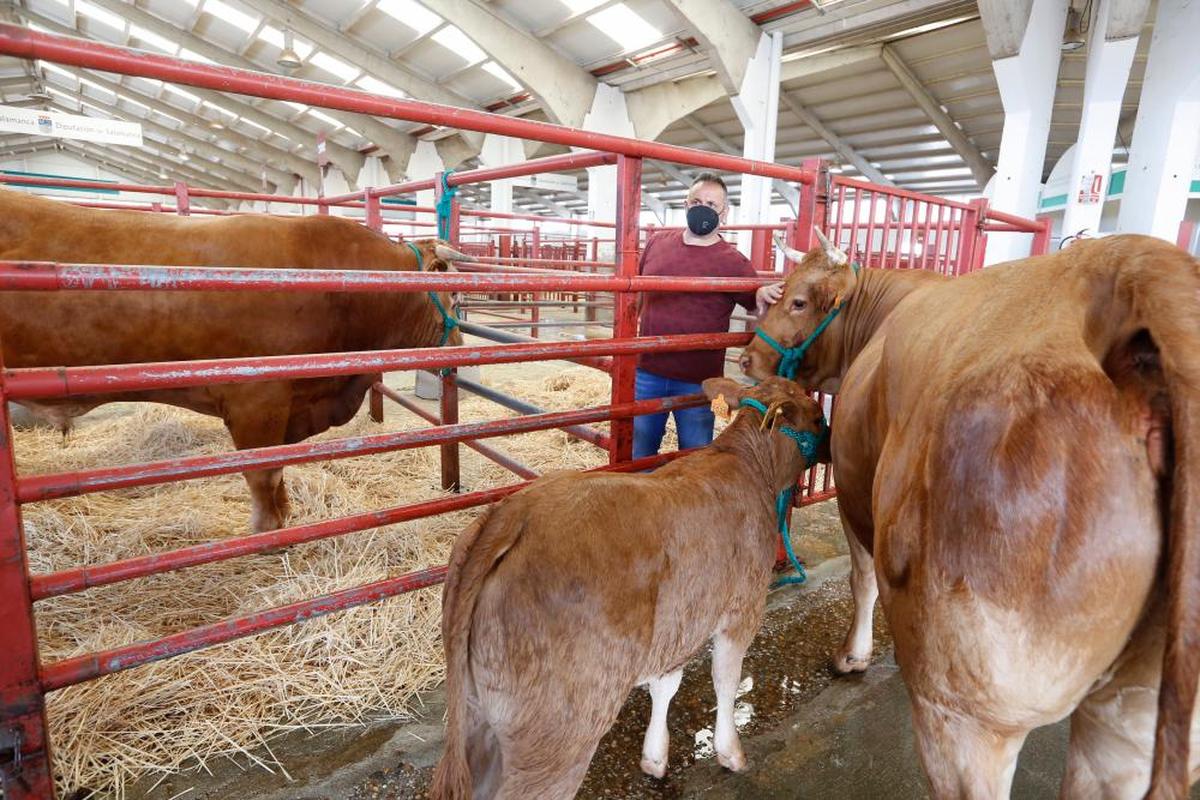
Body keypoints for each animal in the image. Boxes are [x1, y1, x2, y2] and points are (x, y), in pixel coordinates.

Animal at [0, 189, 475, 532]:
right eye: (454, 294)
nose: (461, 347)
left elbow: (278, 468)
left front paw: (285, 514)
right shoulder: (257, 400)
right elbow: (263, 471)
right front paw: (268, 529)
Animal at [434, 376, 835, 800]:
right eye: (816, 413)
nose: (830, 445)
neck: (747, 462)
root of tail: (511, 515)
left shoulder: (678, 621)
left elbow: (666, 685)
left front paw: (655, 757)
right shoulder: (743, 608)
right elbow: (726, 681)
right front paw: (730, 752)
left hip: (476, 719)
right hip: (558, 734)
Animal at [739, 235, 1200, 796]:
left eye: (799, 301)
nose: (749, 356)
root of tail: (1139, 263)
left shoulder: (852, 485)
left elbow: (862, 579)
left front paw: (853, 656)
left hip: (969, 704)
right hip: (1131, 715)